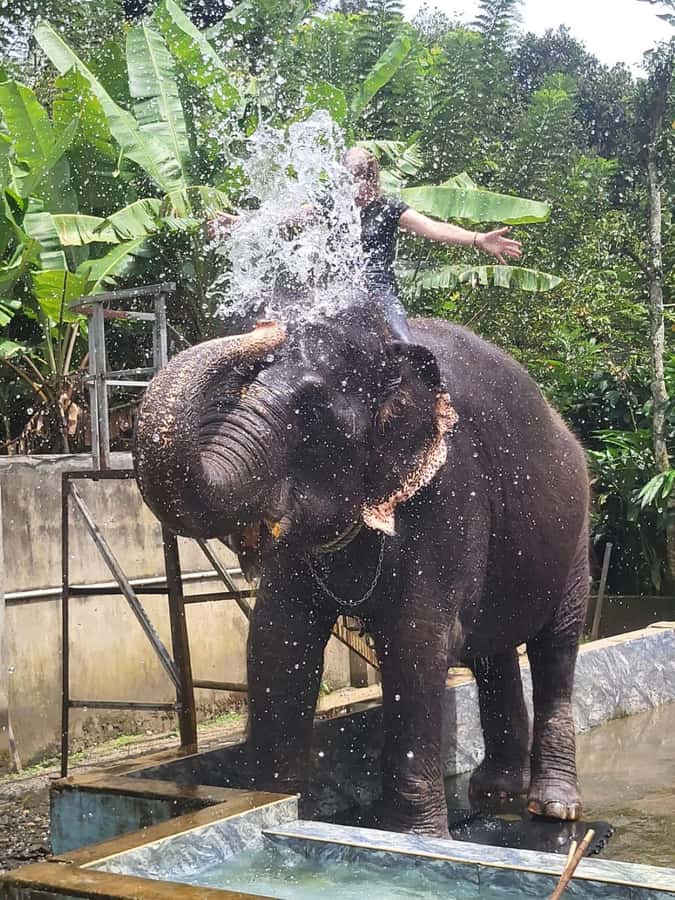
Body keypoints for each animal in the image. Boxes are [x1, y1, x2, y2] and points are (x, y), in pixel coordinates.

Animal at [133, 307, 589, 838]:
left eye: (311, 412)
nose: (266, 328)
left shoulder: (449, 495)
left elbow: (417, 641)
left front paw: (418, 838)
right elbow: (277, 640)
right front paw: (273, 804)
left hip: (578, 537)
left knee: (555, 648)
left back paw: (553, 808)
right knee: (491, 652)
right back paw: (496, 792)